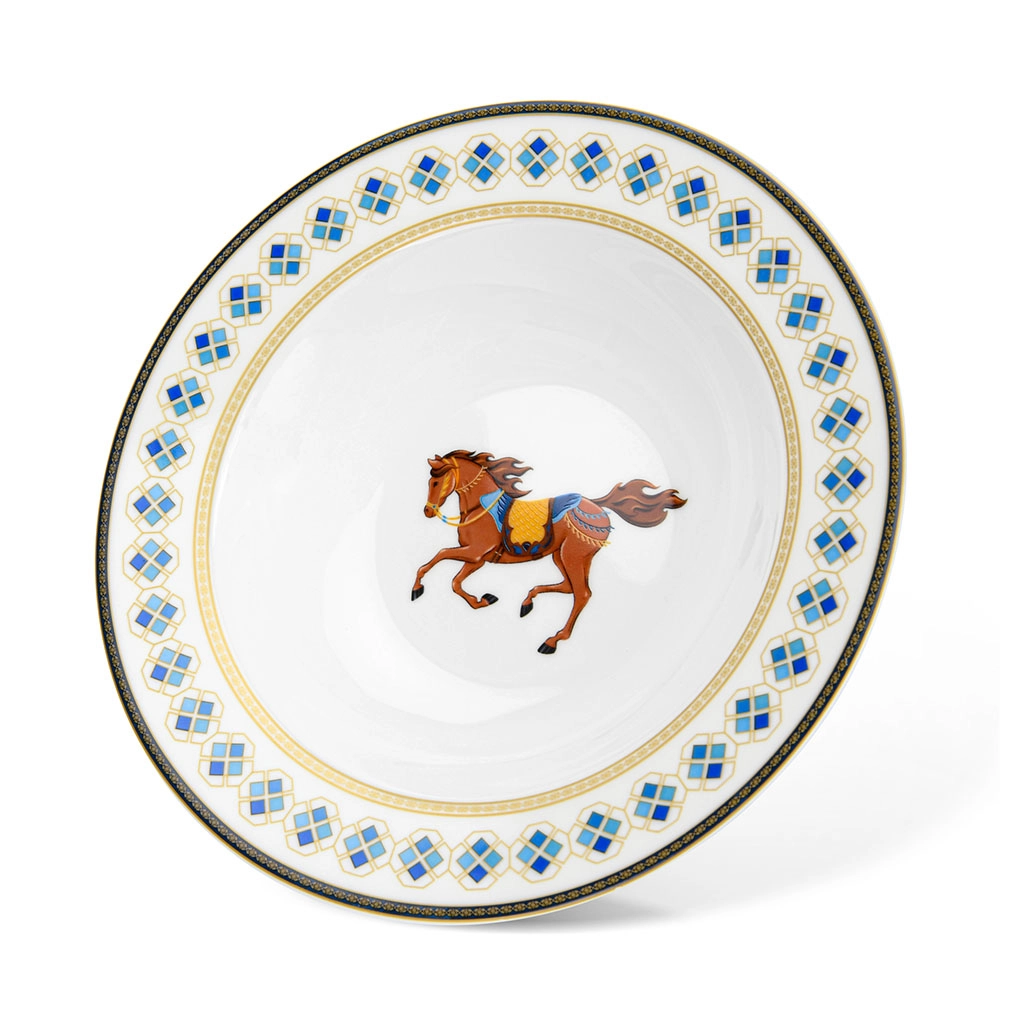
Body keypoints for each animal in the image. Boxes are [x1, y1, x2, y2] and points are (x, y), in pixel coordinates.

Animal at [411, 450, 687, 654]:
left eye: (436, 481)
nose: (427, 511)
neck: (482, 507)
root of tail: (598, 506)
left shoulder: (476, 552)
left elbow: (440, 558)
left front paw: (417, 588)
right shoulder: (478, 558)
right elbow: (454, 581)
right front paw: (483, 600)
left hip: (571, 555)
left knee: (581, 594)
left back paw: (552, 641)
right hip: (564, 556)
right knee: (570, 587)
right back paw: (527, 603)